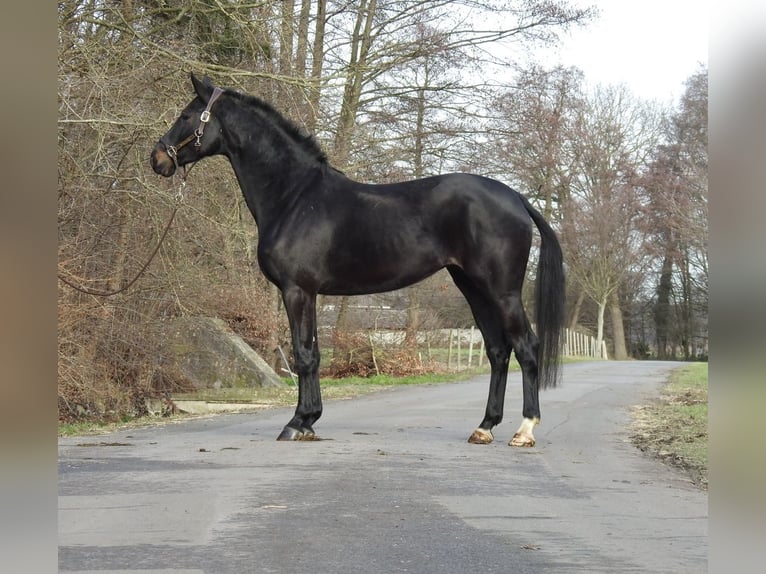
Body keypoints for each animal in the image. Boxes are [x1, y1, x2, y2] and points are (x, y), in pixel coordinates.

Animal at [151, 73, 565, 447]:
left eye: (187, 115)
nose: (157, 158)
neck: (295, 197)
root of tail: (516, 197)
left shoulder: (296, 290)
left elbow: (303, 355)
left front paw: (297, 423)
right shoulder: (310, 293)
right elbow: (314, 353)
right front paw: (310, 420)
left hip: (502, 290)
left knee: (526, 347)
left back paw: (524, 430)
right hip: (472, 287)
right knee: (498, 350)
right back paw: (484, 427)